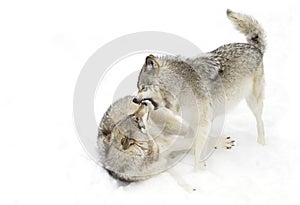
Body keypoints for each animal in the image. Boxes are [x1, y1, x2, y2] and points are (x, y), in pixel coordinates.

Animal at [134, 9, 268, 169]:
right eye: (138, 88)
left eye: (143, 87)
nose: (134, 99)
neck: (180, 88)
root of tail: (255, 48)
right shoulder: (194, 123)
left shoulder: (204, 123)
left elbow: (197, 149)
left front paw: (198, 170)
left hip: (253, 102)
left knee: (260, 122)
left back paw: (261, 145)